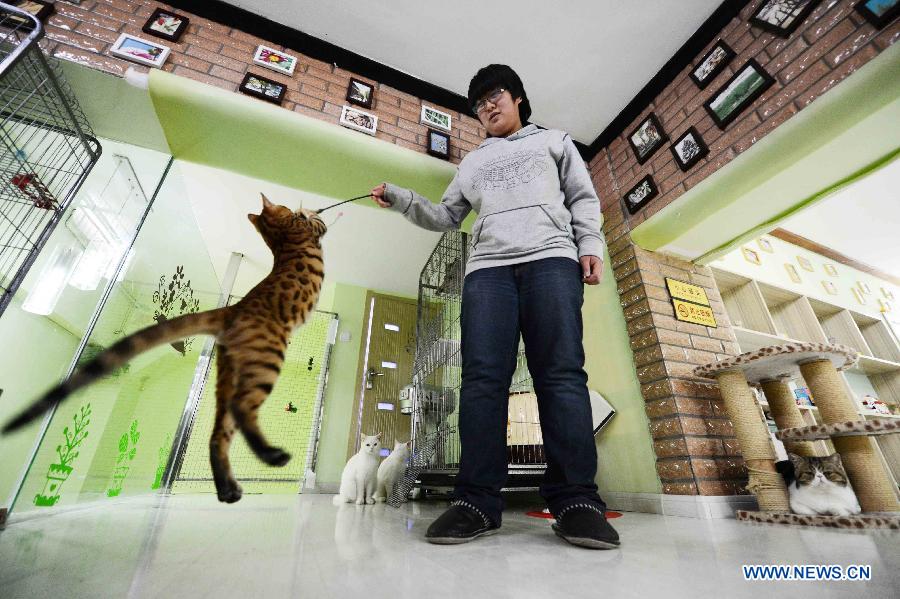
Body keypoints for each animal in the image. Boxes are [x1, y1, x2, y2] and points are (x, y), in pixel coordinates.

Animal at [3, 195, 326, 504]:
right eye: (284, 206)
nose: (293, 207)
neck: (280, 238)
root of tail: (232, 308)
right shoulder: (312, 231)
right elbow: (319, 224)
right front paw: (312, 210)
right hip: (266, 360)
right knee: (241, 408)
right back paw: (272, 457)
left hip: (229, 373)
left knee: (218, 434)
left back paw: (228, 490)